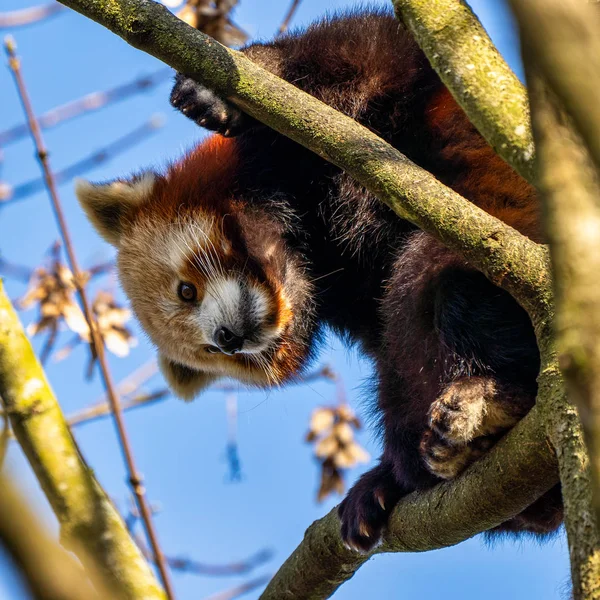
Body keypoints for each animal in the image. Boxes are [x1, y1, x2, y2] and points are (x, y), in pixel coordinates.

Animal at [76, 9, 564, 552]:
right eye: (211, 353)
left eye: (187, 291)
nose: (227, 338)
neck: (309, 237)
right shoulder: (349, 292)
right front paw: (382, 483)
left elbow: (359, 54)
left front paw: (223, 88)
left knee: (435, 283)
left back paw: (491, 400)